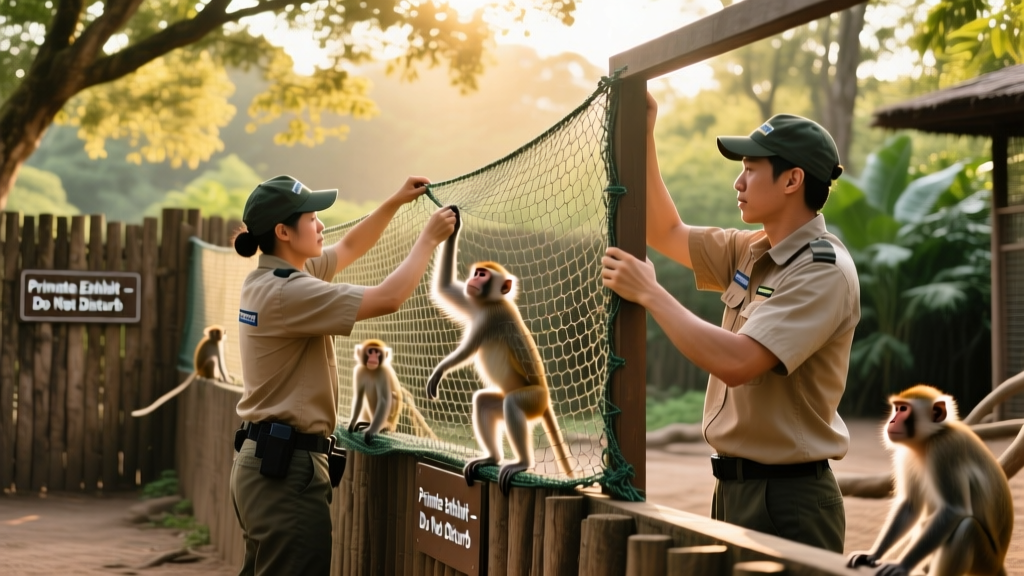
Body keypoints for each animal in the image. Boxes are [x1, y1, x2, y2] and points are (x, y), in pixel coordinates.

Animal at [427, 207, 573, 495]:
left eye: (483, 275)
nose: (473, 280)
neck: (491, 301)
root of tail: (547, 401)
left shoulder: (491, 318)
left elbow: (467, 351)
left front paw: (439, 371)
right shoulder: (476, 304)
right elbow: (444, 289)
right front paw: (454, 223)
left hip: (534, 399)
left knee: (513, 403)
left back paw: (522, 462)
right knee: (485, 402)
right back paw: (492, 458)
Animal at [847, 384, 1013, 576]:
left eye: (903, 409)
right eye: (896, 408)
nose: (892, 421)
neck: (929, 439)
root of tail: (999, 563)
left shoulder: (944, 448)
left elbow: (953, 510)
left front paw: (901, 565)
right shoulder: (907, 455)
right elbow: (911, 506)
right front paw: (873, 554)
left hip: (985, 562)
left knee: (967, 529)